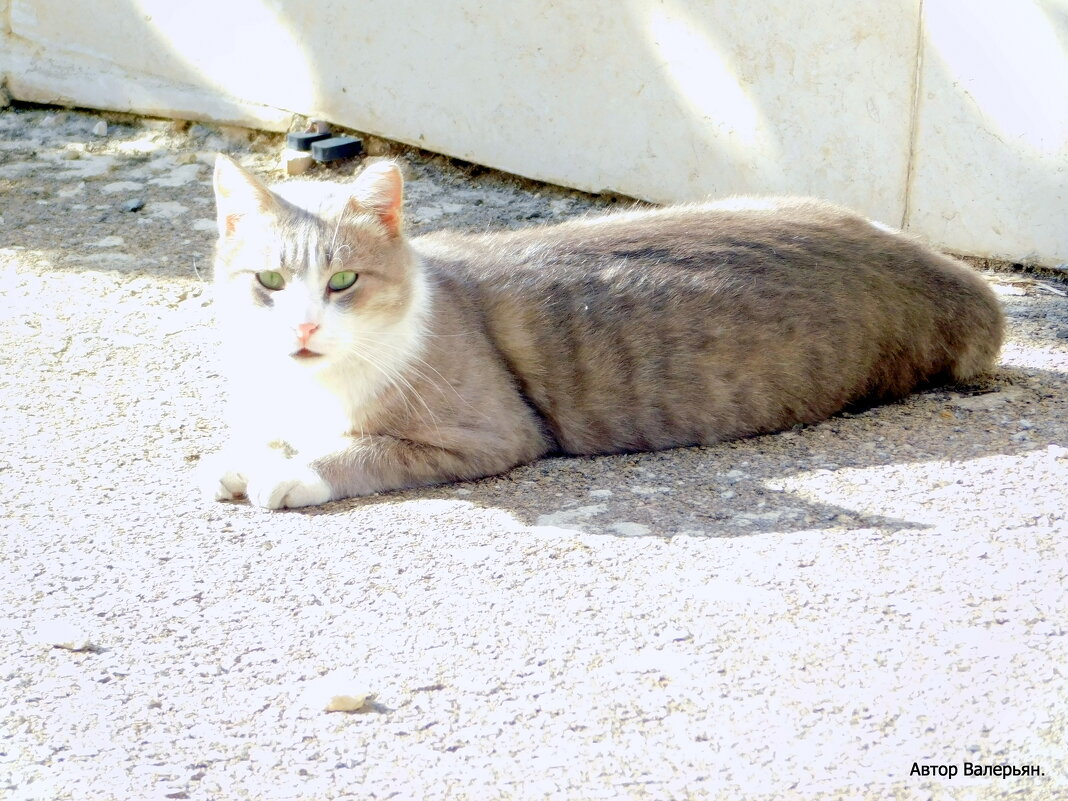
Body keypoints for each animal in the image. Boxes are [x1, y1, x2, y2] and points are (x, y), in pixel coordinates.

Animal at [200, 153, 999, 510]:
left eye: (342, 281)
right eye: (269, 281)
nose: (305, 325)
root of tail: (951, 273)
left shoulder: (488, 432)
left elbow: (360, 451)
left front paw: (288, 471)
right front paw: (250, 454)